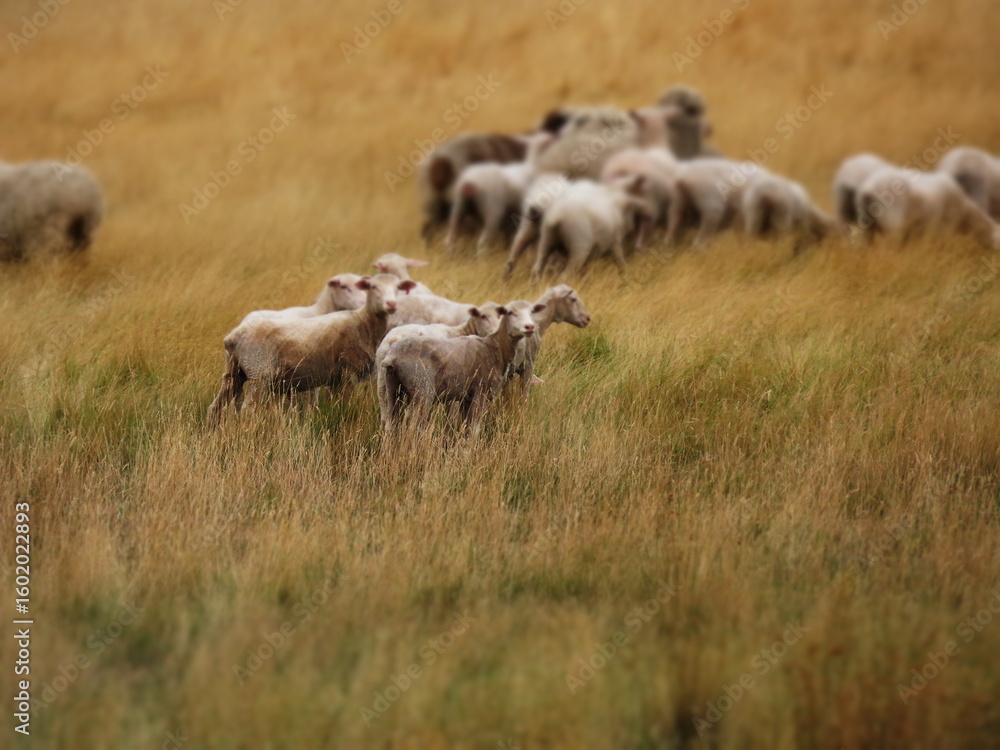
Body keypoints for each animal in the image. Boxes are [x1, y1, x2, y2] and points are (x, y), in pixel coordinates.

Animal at [207, 274, 417, 426]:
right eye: (373, 287)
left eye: (398, 288)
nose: (392, 304)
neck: (362, 322)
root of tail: (233, 337)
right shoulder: (348, 373)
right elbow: (345, 406)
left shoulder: (336, 379)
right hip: (259, 373)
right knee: (247, 411)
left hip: (234, 373)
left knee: (215, 407)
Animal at [380, 300, 542, 432]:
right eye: (510, 312)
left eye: (531, 312)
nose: (529, 327)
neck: (495, 347)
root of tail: (392, 355)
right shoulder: (479, 393)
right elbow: (473, 429)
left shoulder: (466, 397)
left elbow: (466, 426)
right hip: (422, 389)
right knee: (414, 424)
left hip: (391, 388)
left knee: (390, 423)